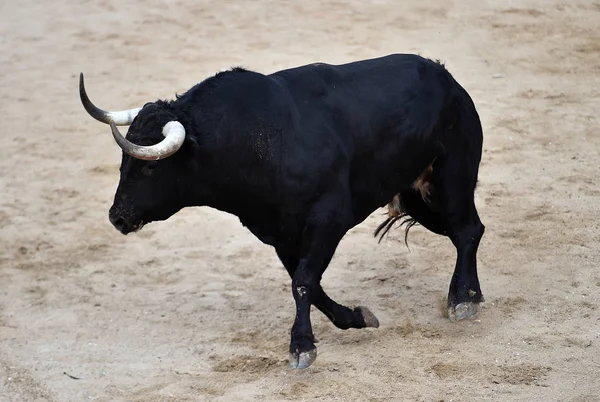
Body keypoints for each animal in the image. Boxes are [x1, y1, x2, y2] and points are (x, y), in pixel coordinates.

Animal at [77, 54, 486, 370]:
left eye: (149, 168)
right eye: (122, 163)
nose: (117, 217)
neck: (254, 139)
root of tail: (447, 80)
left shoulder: (327, 220)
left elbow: (303, 281)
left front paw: (301, 348)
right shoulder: (279, 233)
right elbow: (309, 283)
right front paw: (355, 317)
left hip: (450, 181)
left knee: (467, 231)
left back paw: (462, 300)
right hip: (416, 195)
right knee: (469, 230)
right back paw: (471, 295)